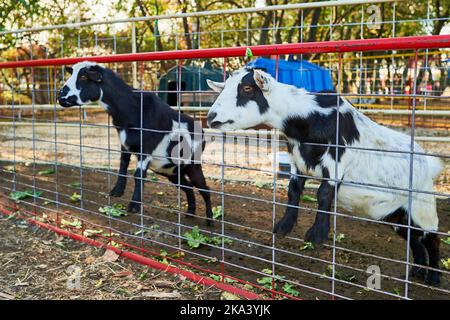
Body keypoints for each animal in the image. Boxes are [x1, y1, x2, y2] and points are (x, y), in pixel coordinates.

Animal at [59, 60, 214, 225]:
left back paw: (210, 220)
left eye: (83, 76)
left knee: (205, 188)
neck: (131, 110)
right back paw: (190, 212)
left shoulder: (145, 150)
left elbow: (138, 175)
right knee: (188, 186)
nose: (60, 97)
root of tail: (201, 132)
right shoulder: (125, 144)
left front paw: (134, 206)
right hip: (171, 171)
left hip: (193, 164)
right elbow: (123, 165)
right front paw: (116, 191)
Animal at [207, 67, 442, 284]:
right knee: (413, 237)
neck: (308, 118)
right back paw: (417, 270)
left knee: (431, 237)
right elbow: (293, 191)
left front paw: (316, 235)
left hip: (422, 204)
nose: (211, 117)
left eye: (247, 89)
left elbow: (323, 193)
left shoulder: (336, 161)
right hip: (396, 213)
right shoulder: (297, 162)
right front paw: (284, 226)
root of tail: (427, 162)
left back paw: (434, 277)